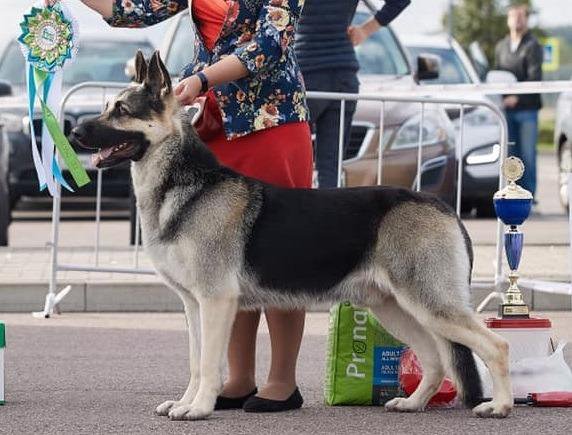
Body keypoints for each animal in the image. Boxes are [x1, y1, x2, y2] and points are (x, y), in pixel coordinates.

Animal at [69, 52, 512, 422]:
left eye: (121, 111)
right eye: (107, 107)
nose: (73, 131)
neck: (187, 185)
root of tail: (443, 206)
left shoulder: (215, 303)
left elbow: (209, 364)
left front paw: (199, 408)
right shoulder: (193, 307)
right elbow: (196, 364)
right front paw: (186, 402)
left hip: (430, 306)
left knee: (495, 346)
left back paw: (500, 406)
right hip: (396, 309)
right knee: (436, 359)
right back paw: (414, 403)